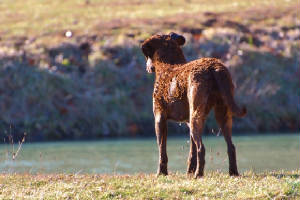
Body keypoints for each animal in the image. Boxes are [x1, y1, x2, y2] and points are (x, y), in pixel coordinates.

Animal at [142, 32, 247, 178]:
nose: (147, 67)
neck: (168, 65)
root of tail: (214, 68)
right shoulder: (187, 121)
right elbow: (191, 152)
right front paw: (189, 172)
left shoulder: (159, 118)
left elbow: (162, 151)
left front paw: (161, 173)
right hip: (221, 113)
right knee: (230, 146)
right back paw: (233, 172)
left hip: (196, 116)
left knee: (202, 148)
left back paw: (199, 174)